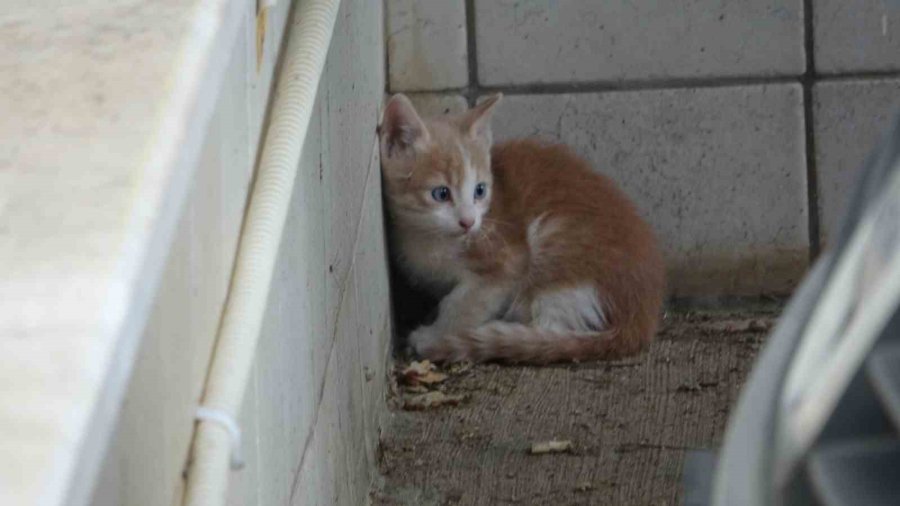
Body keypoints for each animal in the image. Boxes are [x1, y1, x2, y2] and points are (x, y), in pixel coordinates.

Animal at [376, 94, 664, 364]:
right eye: (441, 193)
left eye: (480, 190)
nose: (468, 222)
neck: (430, 237)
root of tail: (641, 318)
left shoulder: (506, 262)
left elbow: (461, 304)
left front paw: (436, 334)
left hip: (554, 244)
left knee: (549, 329)